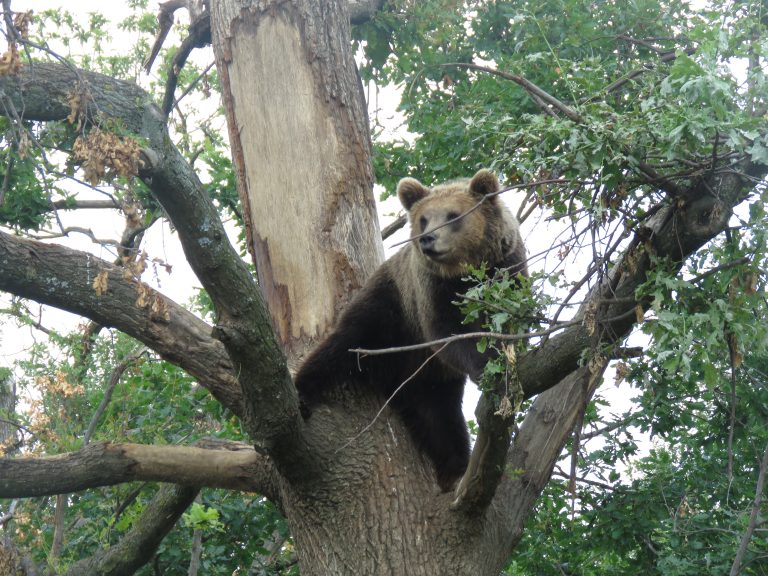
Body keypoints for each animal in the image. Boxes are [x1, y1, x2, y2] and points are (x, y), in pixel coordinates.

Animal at [294, 169, 528, 491]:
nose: (428, 239)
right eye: (424, 219)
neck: (464, 274)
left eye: (454, 215)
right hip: (388, 313)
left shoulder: (507, 269)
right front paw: (483, 364)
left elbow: (511, 322)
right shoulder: (430, 292)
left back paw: (455, 468)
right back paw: (302, 389)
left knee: (440, 420)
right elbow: (447, 334)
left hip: (427, 378)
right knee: (342, 345)